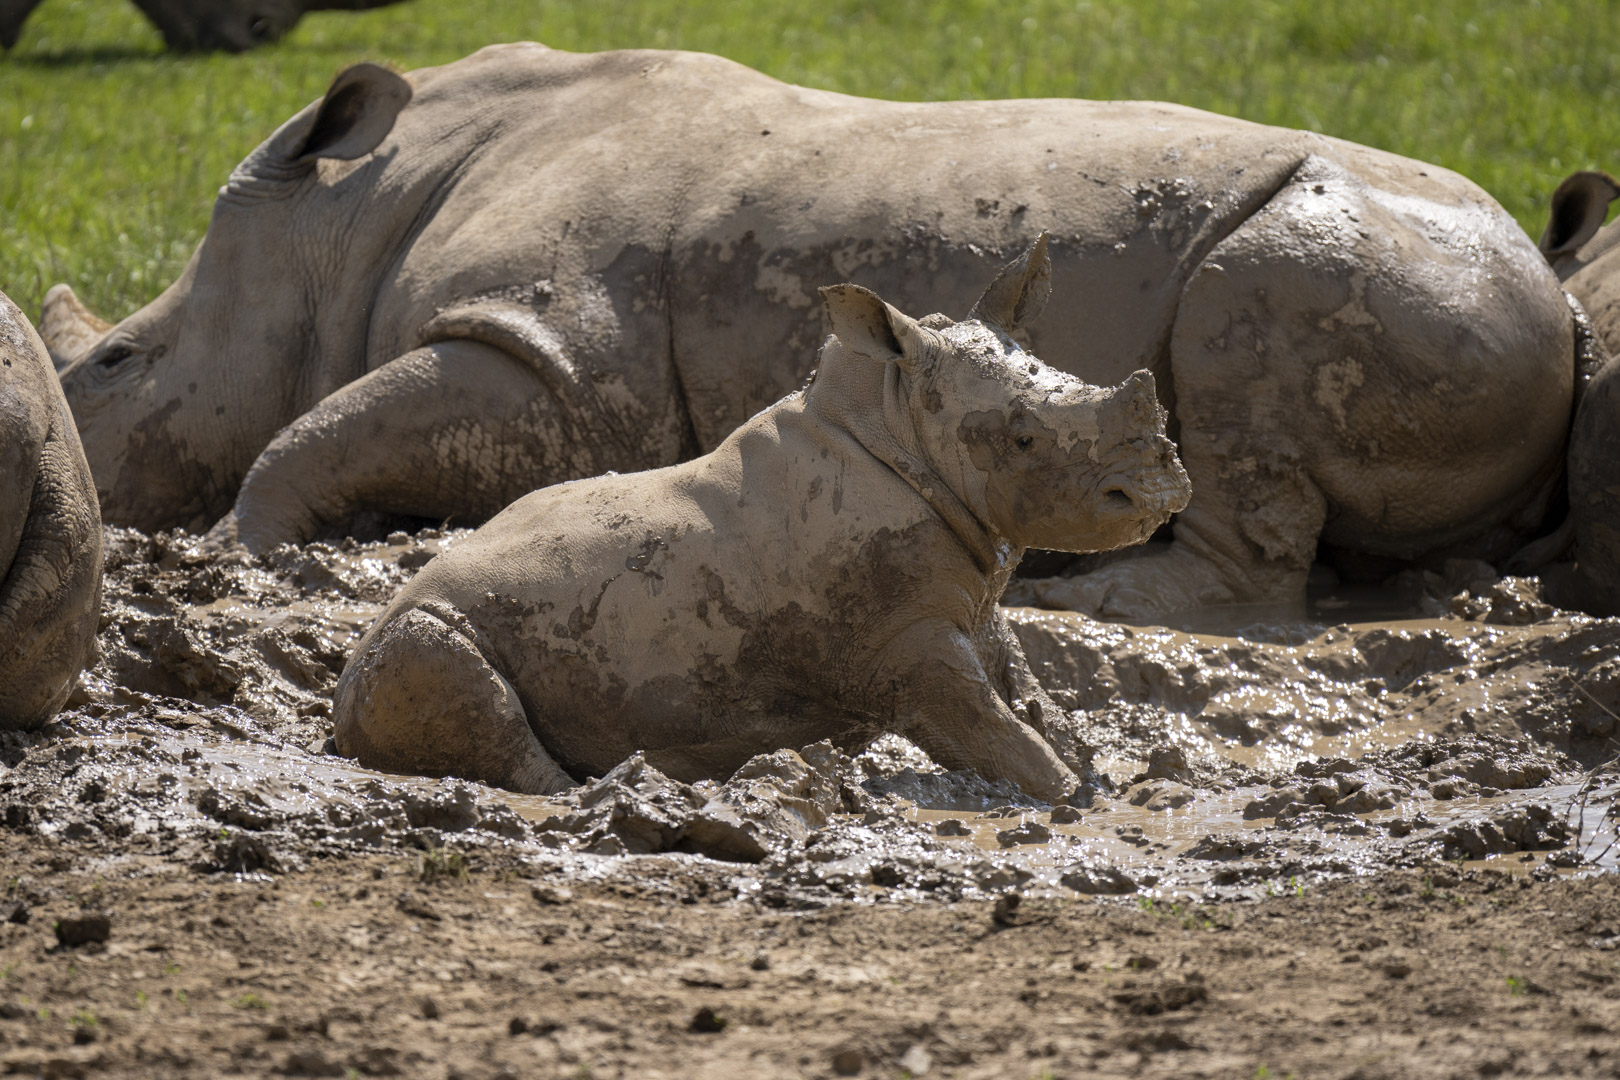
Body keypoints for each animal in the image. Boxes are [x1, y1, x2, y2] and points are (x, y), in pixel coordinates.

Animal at [53, 44, 1581, 615]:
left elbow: (319, 432)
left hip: (1345, 254)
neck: (342, 223)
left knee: (1247, 341)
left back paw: (1091, 600)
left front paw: (233, 551)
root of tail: (1563, 306)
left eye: (114, 365)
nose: (87, 493)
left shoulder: (547, 359)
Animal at [332, 244, 1192, 803]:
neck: (896, 420)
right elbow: (991, 727)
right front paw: (1073, 802)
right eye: (1021, 439)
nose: (1161, 487)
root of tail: (340, 698)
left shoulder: (973, 596)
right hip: (423, 629)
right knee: (458, 676)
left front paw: (1094, 773)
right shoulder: (901, 640)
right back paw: (595, 790)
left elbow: (1029, 693)